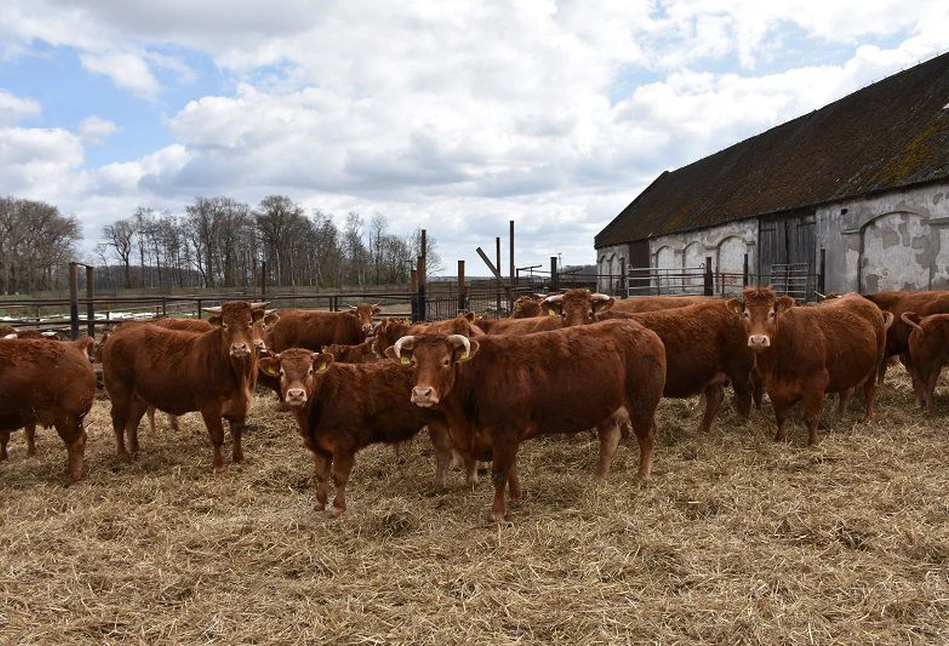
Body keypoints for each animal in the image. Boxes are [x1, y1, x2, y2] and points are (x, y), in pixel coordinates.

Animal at [101, 302, 268, 474]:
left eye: (249, 323)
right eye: (225, 325)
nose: (239, 348)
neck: (238, 377)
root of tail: (124, 328)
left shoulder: (241, 404)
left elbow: (237, 433)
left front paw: (239, 458)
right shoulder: (209, 406)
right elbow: (217, 436)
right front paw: (218, 465)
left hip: (138, 398)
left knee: (132, 422)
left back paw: (135, 451)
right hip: (120, 393)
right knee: (119, 421)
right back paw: (122, 455)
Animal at [260, 350, 470, 516]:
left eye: (310, 371)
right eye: (281, 372)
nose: (296, 394)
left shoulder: (343, 444)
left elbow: (339, 475)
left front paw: (338, 507)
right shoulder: (319, 446)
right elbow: (320, 475)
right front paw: (319, 504)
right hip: (437, 422)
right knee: (443, 451)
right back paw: (439, 485)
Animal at [388, 322, 664, 524]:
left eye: (446, 361)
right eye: (414, 362)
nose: (422, 393)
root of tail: (643, 330)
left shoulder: (505, 434)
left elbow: (500, 472)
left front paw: (497, 513)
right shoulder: (504, 437)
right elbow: (512, 468)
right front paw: (516, 498)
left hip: (642, 403)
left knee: (647, 436)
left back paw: (642, 476)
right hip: (609, 409)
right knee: (609, 439)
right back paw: (598, 478)